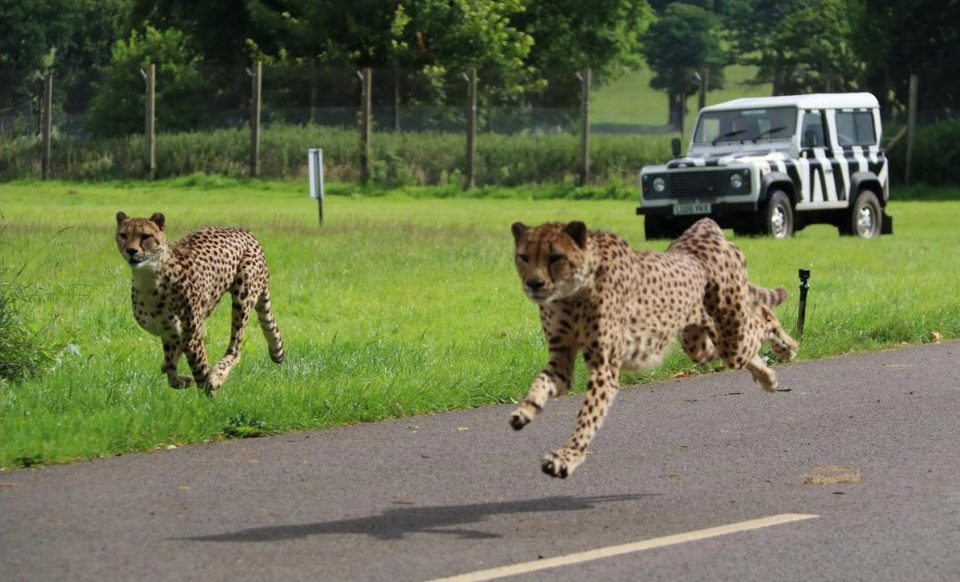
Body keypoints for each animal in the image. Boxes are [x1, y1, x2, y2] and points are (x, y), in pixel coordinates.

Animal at [114, 212, 284, 394]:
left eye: (145, 236)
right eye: (123, 235)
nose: (131, 250)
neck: (149, 277)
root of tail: (245, 231)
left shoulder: (192, 336)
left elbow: (200, 370)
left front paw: (209, 391)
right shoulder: (169, 332)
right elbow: (172, 372)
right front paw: (182, 380)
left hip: (243, 293)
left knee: (236, 347)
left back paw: (217, 375)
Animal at [512, 218, 800, 480]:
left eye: (555, 257)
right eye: (524, 257)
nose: (534, 283)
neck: (572, 291)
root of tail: (705, 226)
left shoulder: (604, 369)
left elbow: (588, 418)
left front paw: (567, 457)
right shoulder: (561, 361)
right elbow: (540, 384)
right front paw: (525, 412)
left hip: (731, 333)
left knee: (762, 316)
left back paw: (787, 348)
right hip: (700, 343)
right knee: (737, 343)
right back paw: (767, 377)